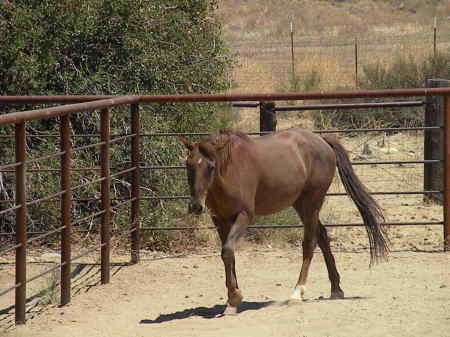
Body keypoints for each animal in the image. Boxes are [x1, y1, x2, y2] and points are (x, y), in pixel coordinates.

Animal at [179, 127, 386, 314]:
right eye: (189, 165)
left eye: (211, 167)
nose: (196, 206)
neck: (229, 170)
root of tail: (322, 140)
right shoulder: (220, 220)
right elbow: (228, 255)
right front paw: (232, 300)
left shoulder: (244, 215)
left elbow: (228, 250)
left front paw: (234, 297)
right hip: (302, 205)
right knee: (322, 236)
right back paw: (336, 289)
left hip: (311, 204)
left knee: (310, 243)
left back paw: (297, 293)